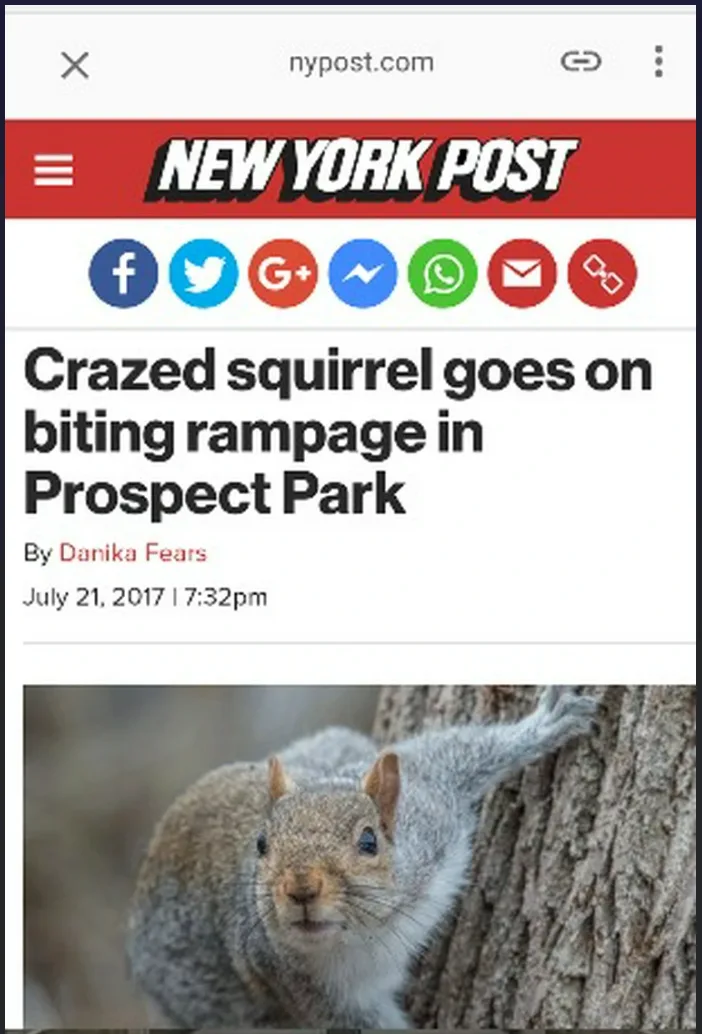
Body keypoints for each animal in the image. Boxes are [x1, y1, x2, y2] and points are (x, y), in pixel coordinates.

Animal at [126, 687, 598, 1029]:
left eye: (369, 841)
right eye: (261, 844)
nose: (300, 887)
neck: (372, 926)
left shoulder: (430, 805)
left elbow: (457, 751)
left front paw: (543, 725)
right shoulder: (297, 982)